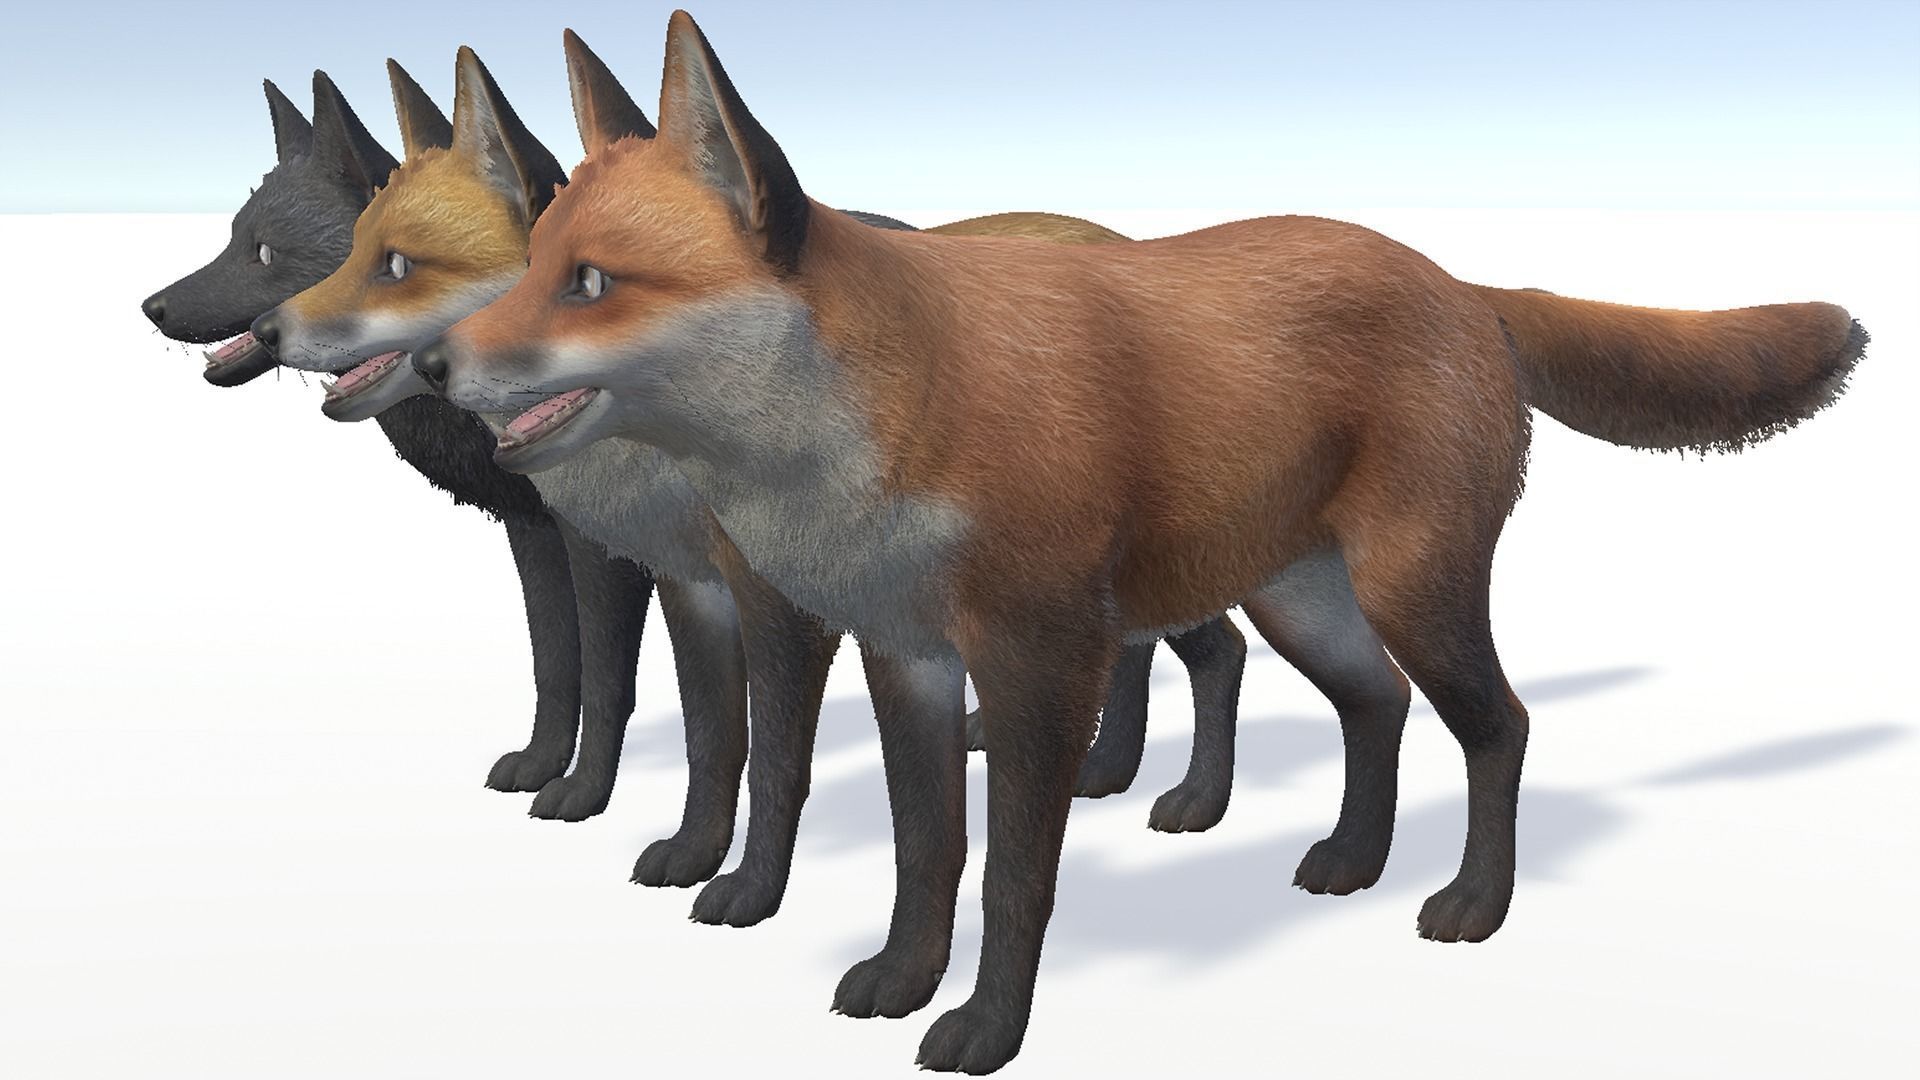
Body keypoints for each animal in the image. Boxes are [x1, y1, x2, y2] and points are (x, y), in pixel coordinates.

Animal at [413, 11, 1868, 1073]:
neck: (875, 434)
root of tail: (1454, 281)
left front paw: (988, 1031)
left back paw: (1471, 905)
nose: (433, 365)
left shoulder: (1041, 662)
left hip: (1411, 588)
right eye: (531, 263)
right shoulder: (908, 660)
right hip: (1305, 606)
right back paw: (1353, 860)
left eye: (592, 283)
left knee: (1498, 726)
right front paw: (902, 979)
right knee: (1380, 709)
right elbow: (928, 854)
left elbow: (1013, 878)